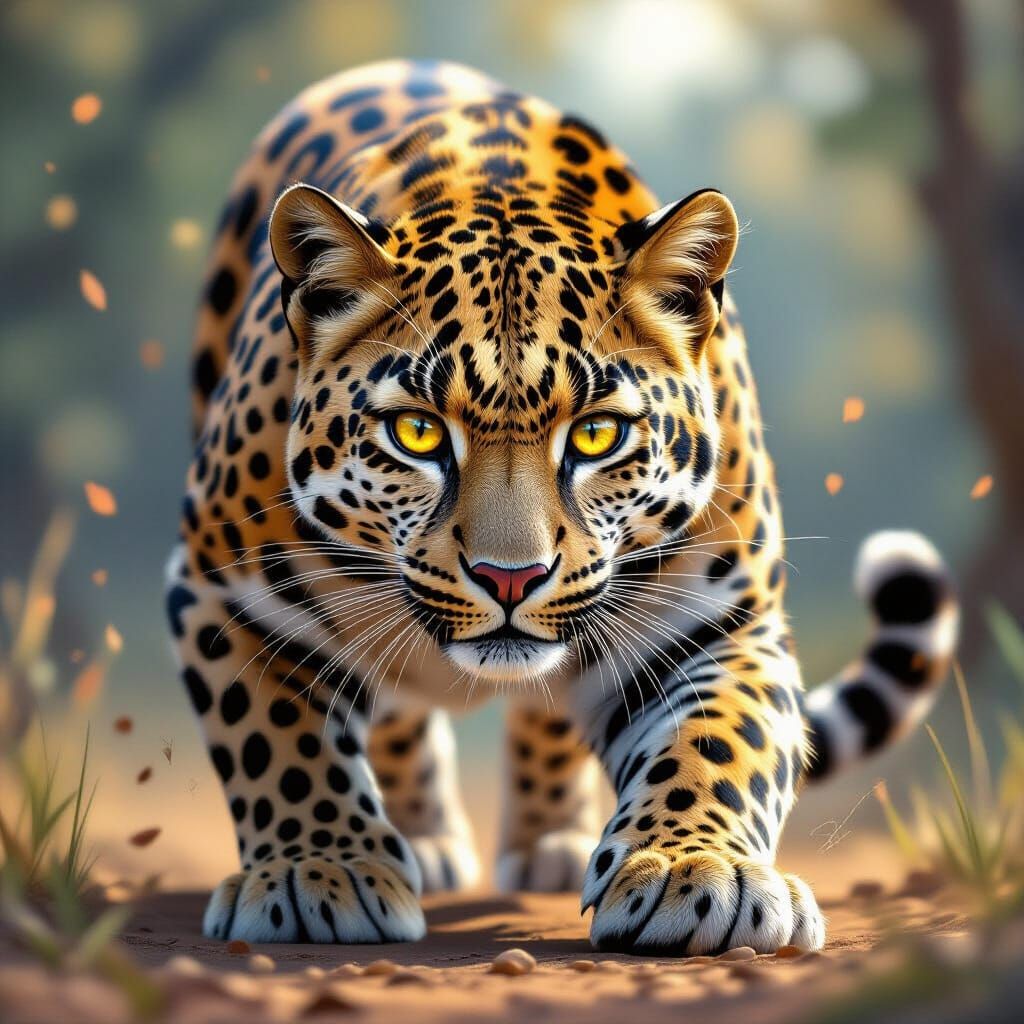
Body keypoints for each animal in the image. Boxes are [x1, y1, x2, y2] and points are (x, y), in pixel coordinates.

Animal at [167, 59, 958, 954]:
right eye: (416, 431)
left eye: (596, 434)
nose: (510, 579)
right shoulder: (225, 591)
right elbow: (278, 738)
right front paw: (317, 871)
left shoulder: (719, 622)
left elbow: (721, 741)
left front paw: (695, 871)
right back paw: (423, 838)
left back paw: (550, 839)